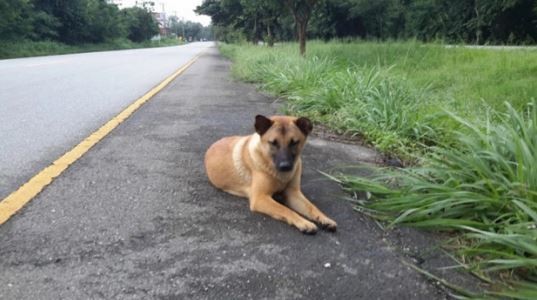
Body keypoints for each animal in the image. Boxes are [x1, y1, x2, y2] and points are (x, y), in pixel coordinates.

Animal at [204, 115, 336, 234]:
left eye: (294, 143)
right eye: (273, 143)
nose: (285, 166)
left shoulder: (293, 194)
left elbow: (311, 207)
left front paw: (324, 218)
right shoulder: (260, 198)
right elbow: (285, 210)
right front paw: (304, 222)